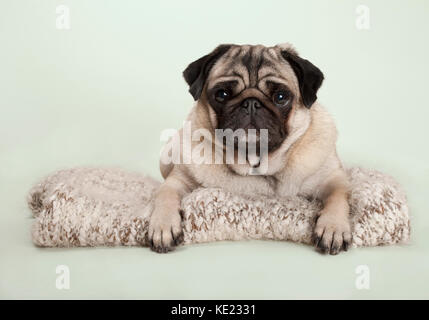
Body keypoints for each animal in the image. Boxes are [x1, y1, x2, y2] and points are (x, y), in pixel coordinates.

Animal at [148, 44, 352, 255]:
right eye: (222, 94)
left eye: (281, 97)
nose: (252, 103)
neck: (255, 162)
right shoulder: (178, 180)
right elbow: (165, 193)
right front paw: (163, 225)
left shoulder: (333, 179)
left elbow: (338, 196)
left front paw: (333, 227)